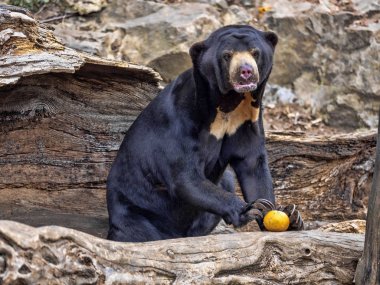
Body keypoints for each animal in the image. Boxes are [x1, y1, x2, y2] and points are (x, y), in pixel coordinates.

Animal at [106, 25, 294, 241]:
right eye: (227, 55)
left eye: (255, 52)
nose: (246, 72)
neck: (229, 104)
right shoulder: (181, 123)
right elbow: (185, 176)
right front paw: (247, 209)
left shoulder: (246, 122)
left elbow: (252, 165)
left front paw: (285, 214)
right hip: (135, 210)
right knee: (138, 230)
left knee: (226, 181)